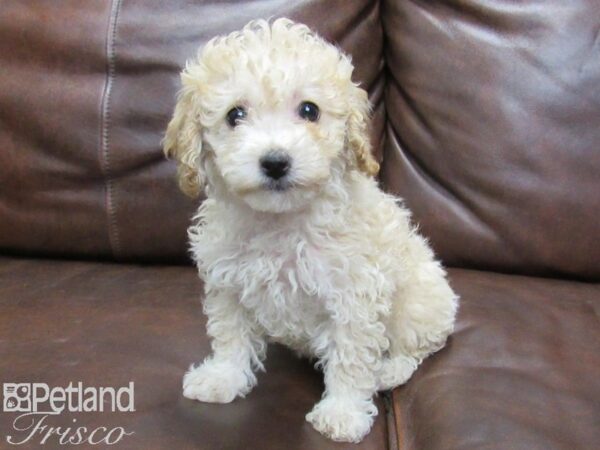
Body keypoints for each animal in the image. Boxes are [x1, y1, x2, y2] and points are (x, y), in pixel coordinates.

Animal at [164, 18, 460, 442]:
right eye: (235, 115)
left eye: (309, 110)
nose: (275, 161)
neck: (281, 220)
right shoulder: (227, 281)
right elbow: (230, 334)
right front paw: (222, 378)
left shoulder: (354, 295)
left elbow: (352, 357)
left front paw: (343, 413)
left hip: (418, 304)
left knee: (415, 350)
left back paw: (388, 370)